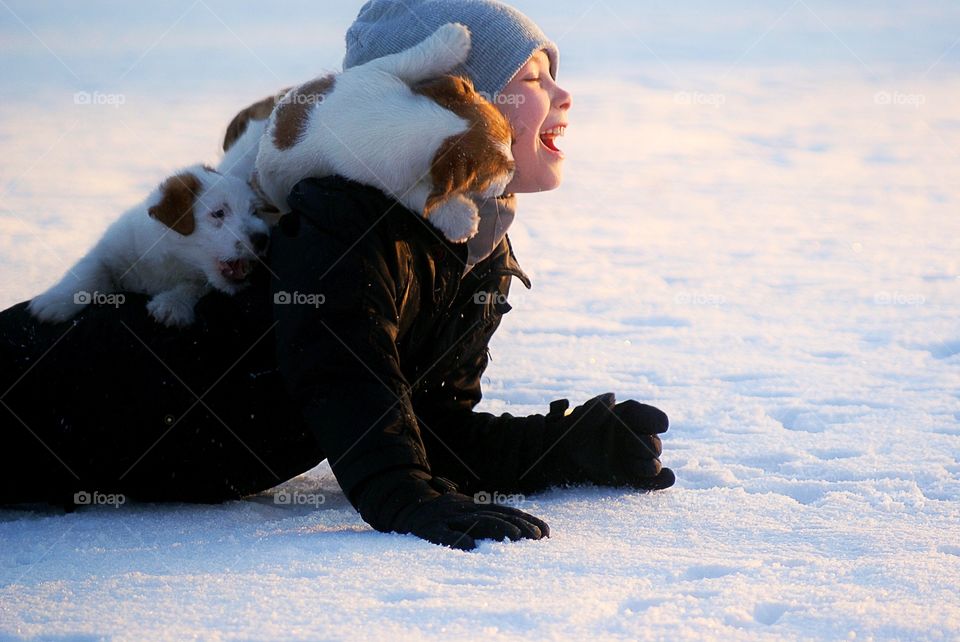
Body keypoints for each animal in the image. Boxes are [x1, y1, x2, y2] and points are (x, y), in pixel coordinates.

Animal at [29, 162, 270, 328]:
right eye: (219, 213)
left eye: (255, 211)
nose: (263, 238)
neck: (171, 259)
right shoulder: (108, 252)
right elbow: (87, 272)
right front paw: (55, 301)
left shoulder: (198, 278)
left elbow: (195, 285)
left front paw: (172, 303)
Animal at [251, 21, 512, 242]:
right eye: (489, 175)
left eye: (511, 136)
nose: (513, 169)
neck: (418, 123)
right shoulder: (388, 180)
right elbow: (421, 195)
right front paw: (459, 217)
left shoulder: (377, 70)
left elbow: (412, 59)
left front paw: (452, 39)